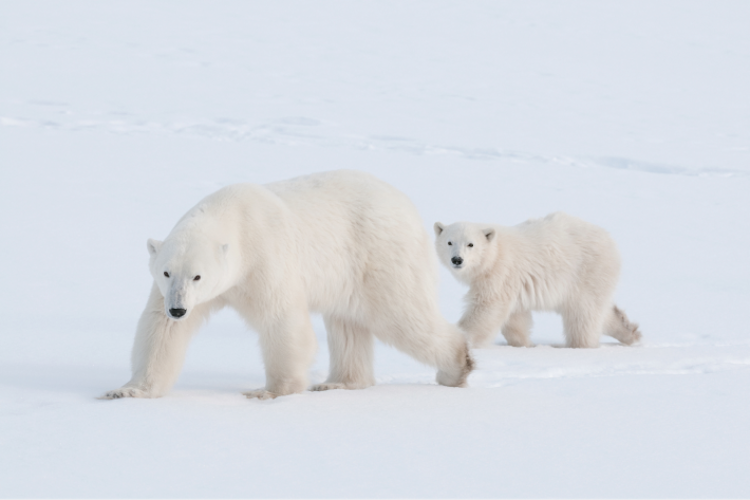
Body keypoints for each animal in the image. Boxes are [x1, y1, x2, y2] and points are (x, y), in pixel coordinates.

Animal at [102, 170, 473, 400]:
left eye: (198, 275)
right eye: (166, 273)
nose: (178, 308)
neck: (233, 218)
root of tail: (408, 205)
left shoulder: (264, 257)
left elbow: (280, 318)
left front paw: (270, 391)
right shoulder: (179, 293)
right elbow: (160, 330)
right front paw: (126, 390)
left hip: (379, 255)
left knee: (402, 314)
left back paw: (457, 366)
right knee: (347, 324)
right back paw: (340, 383)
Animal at [433, 213, 641, 349]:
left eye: (471, 244)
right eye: (449, 242)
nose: (457, 260)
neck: (494, 254)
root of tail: (609, 239)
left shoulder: (501, 272)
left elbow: (486, 308)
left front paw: (458, 338)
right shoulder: (512, 283)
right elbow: (515, 317)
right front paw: (525, 344)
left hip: (587, 271)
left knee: (583, 314)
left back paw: (580, 345)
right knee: (600, 310)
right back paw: (630, 332)